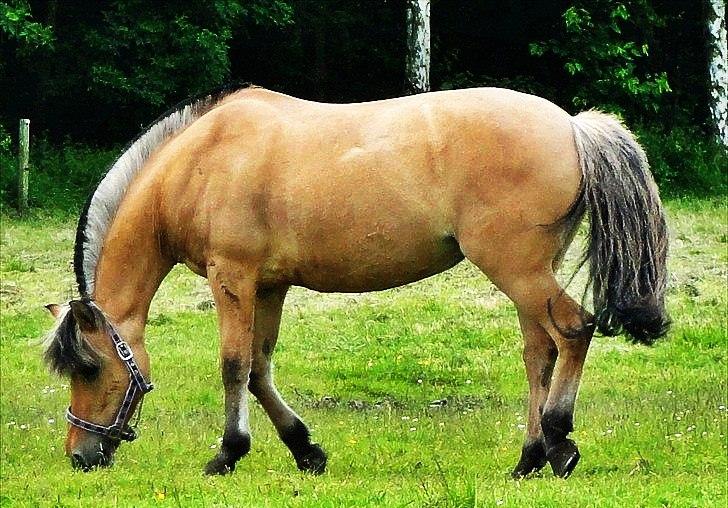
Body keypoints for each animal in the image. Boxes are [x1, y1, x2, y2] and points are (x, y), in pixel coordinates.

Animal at [43, 85, 669, 478]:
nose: (80, 455)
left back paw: (559, 441)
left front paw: (228, 453)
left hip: (517, 270)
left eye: (90, 369)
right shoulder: (269, 286)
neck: (202, 161)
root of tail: (572, 125)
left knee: (573, 331)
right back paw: (530, 458)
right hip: (526, 275)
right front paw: (305, 450)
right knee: (540, 352)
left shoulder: (234, 278)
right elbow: (260, 368)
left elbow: (234, 366)